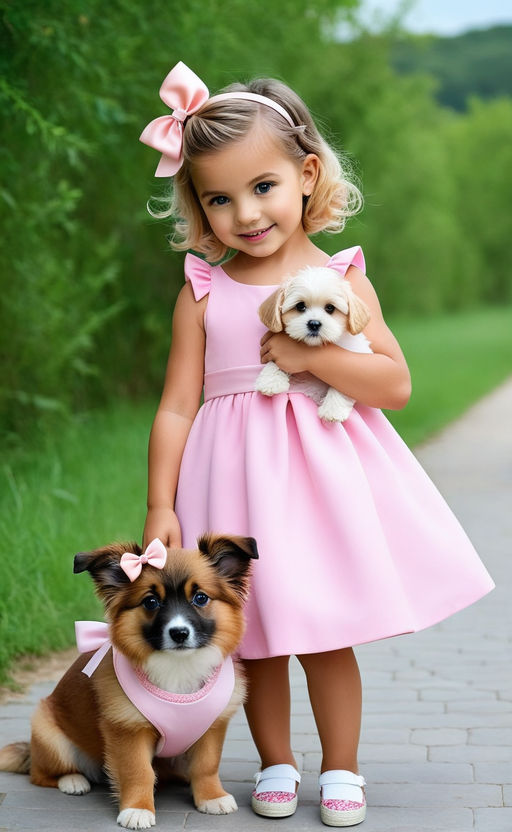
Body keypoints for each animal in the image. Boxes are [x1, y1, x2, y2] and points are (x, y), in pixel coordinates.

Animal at [256, 266, 372, 422]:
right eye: (300, 306)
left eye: (330, 308)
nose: (314, 324)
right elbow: (275, 360)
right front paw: (270, 381)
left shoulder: (358, 354)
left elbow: (344, 382)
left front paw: (332, 409)